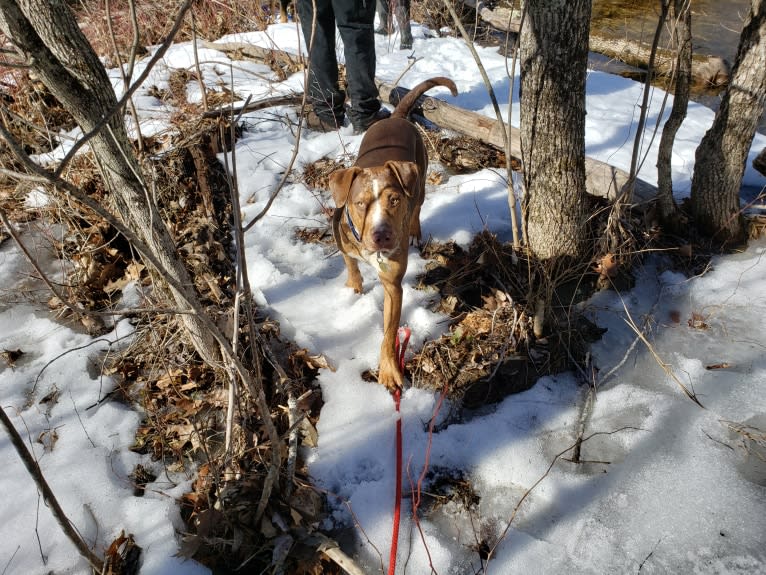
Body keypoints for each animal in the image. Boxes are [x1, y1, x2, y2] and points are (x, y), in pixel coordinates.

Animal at [328, 76, 456, 392]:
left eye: (394, 200)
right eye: (360, 203)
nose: (382, 235)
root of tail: (397, 117)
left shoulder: (392, 286)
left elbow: (388, 332)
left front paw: (388, 370)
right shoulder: (342, 239)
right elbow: (350, 264)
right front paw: (354, 286)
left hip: (419, 182)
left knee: (418, 206)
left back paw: (414, 232)